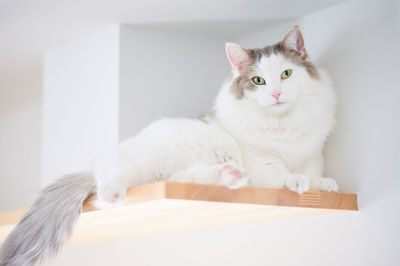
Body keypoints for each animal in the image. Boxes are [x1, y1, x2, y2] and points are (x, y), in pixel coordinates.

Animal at [0, 26, 338, 266]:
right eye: (258, 81)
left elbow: (313, 172)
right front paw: (295, 181)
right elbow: (279, 173)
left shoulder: (312, 152)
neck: (283, 124)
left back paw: (229, 176)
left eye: (286, 74)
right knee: (111, 181)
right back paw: (111, 194)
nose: (277, 95)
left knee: (188, 177)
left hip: (178, 173)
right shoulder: (259, 158)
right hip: (155, 159)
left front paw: (324, 184)